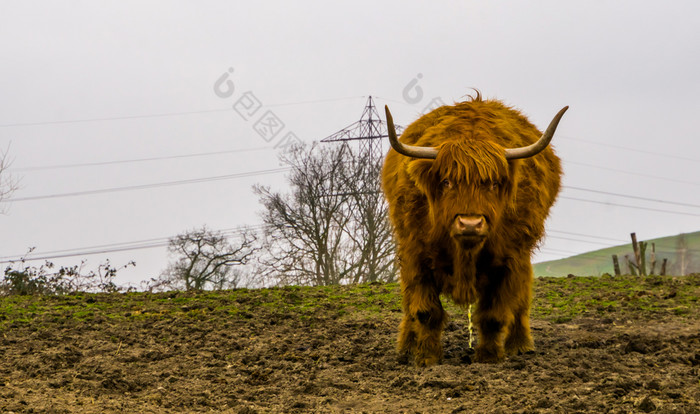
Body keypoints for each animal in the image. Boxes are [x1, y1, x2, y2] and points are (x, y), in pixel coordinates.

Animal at [380, 93, 568, 366]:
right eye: (446, 182)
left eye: (493, 183)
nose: (470, 224)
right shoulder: (416, 256)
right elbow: (425, 311)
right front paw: (426, 358)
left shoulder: (510, 260)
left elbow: (495, 315)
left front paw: (489, 357)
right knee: (409, 307)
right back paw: (406, 347)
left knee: (521, 302)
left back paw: (521, 346)